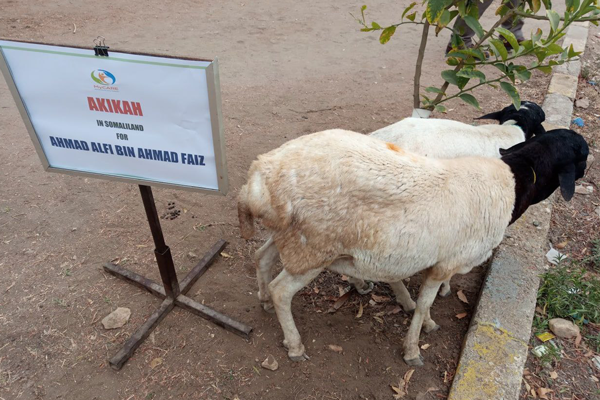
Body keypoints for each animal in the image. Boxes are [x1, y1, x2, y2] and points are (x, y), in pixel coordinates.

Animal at [238, 128, 584, 366]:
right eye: (580, 157)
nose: (584, 172)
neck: (512, 184)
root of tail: (258, 178)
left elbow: (422, 302)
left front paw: (424, 324)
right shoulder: (446, 263)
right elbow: (423, 302)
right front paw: (413, 349)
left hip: (291, 238)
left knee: (260, 256)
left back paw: (263, 299)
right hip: (311, 248)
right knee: (282, 290)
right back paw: (294, 344)